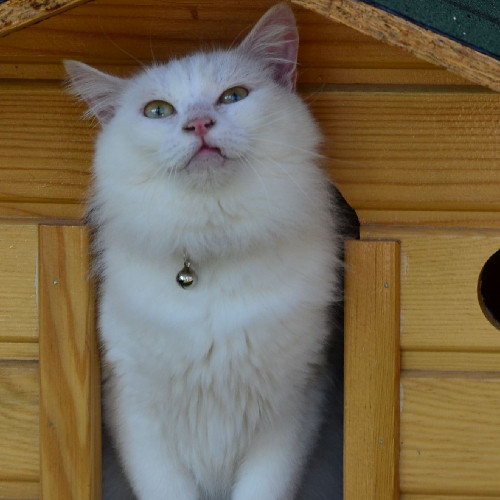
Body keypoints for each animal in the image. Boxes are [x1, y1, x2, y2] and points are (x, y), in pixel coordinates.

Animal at [65, 4, 344, 500]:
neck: (212, 249)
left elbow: (263, 489)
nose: (198, 124)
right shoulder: (135, 411)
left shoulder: (292, 409)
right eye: (157, 110)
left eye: (233, 97)